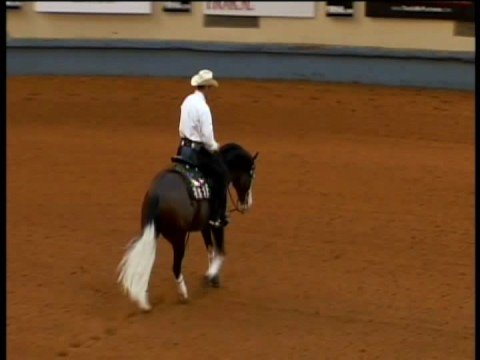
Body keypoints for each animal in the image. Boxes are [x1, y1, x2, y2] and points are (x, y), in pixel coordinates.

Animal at [116, 142, 258, 310]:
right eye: (251, 174)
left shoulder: (205, 226)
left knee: (148, 261)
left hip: (153, 233)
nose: (247, 204)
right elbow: (221, 251)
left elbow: (211, 250)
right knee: (176, 266)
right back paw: (183, 295)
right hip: (179, 239)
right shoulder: (217, 224)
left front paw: (214, 278)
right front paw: (210, 275)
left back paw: (144, 299)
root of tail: (157, 194)